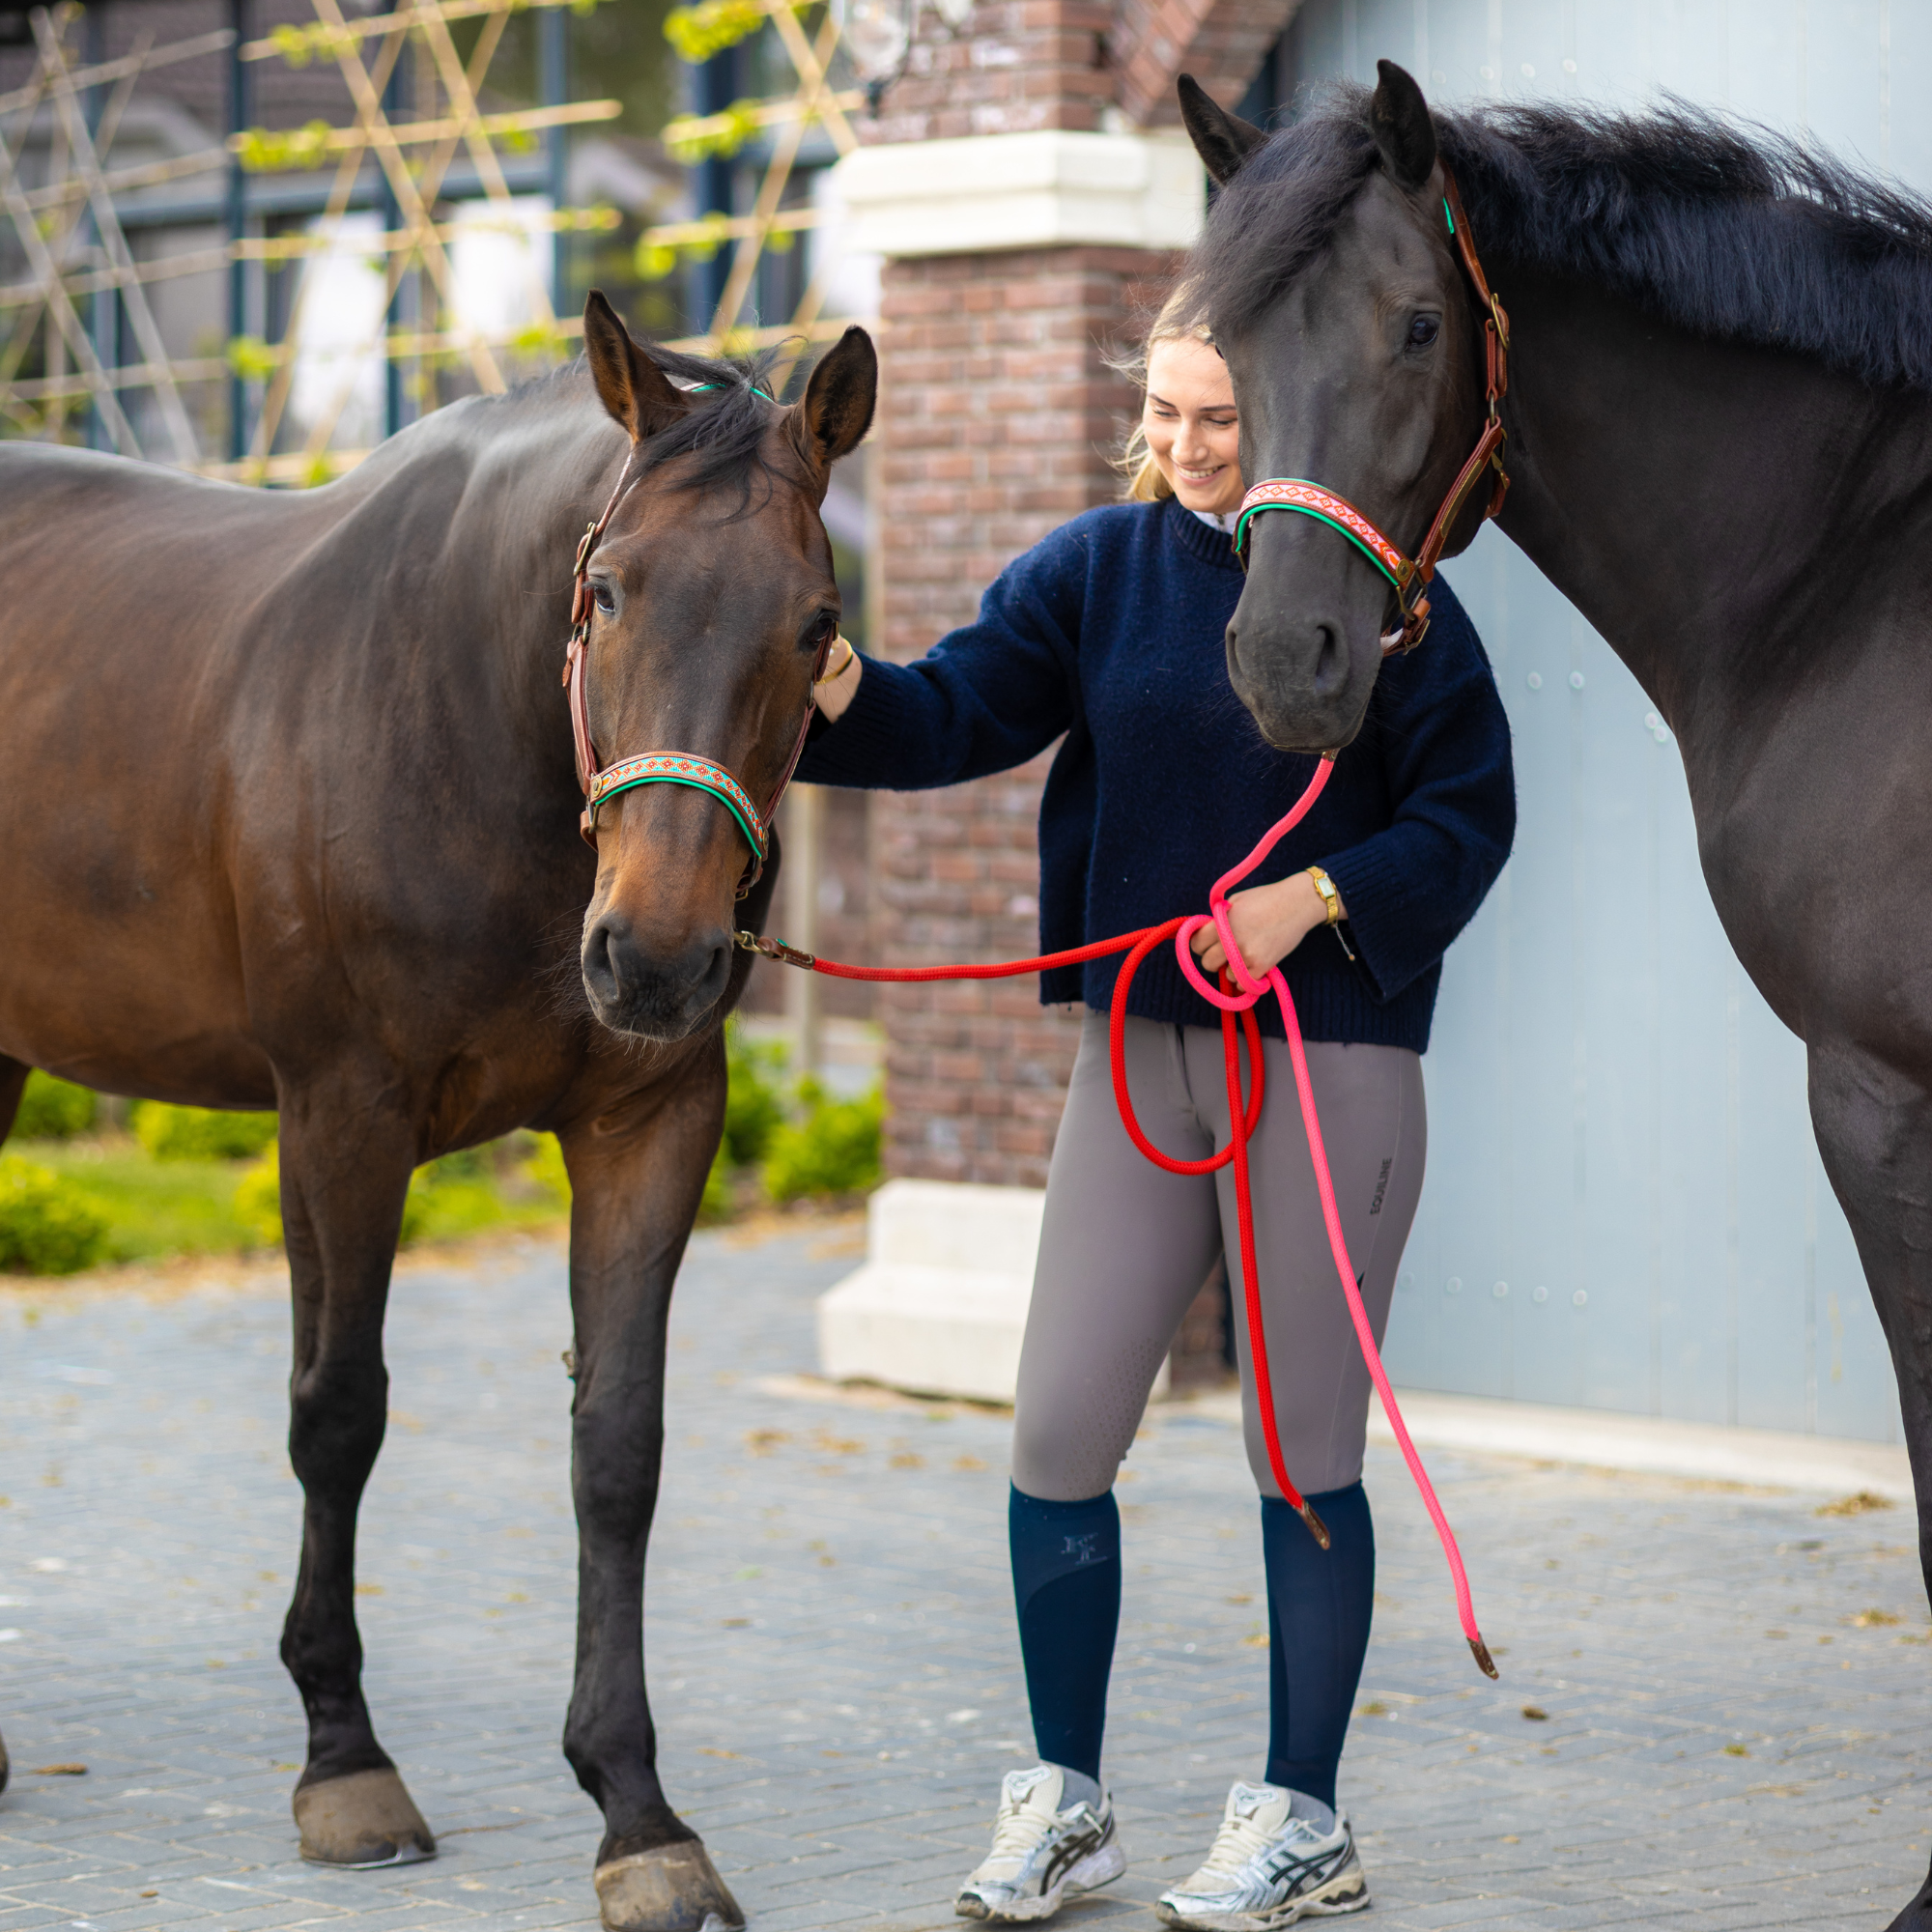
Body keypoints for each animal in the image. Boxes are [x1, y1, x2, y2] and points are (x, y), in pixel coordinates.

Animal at [0, 291, 876, 1932]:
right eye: (605, 590)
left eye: (816, 624)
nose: (654, 956)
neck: (474, 723)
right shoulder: (343, 1114)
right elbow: (338, 1413)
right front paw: (345, 1764)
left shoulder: (651, 1124)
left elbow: (618, 1448)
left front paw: (638, 1815)